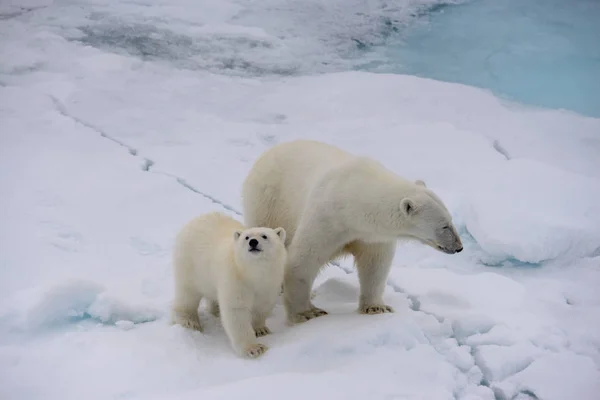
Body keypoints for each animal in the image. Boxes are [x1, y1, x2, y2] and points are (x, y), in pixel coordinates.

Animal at [240, 139, 464, 324]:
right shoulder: (326, 217)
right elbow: (304, 259)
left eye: (451, 220)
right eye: (444, 225)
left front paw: (376, 307)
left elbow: (375, 264)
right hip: (268, 203)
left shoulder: (371, 234)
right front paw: (306, 313)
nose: (459, 247)